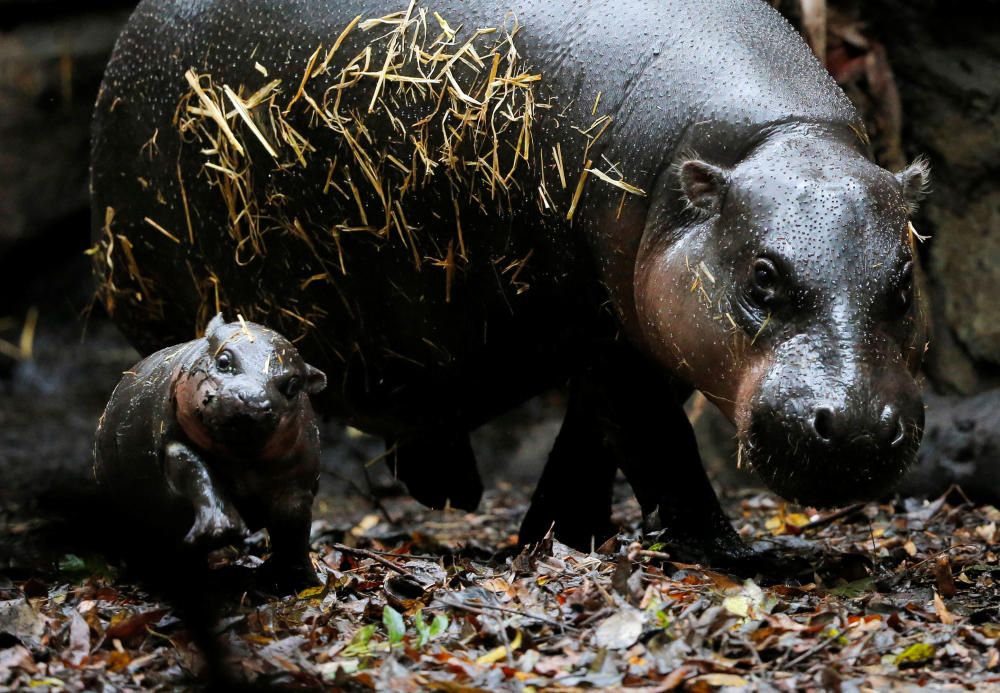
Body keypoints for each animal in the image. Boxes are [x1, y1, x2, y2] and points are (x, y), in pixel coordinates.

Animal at [93, 314, 324, 588]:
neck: (241, 463)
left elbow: (294, 526)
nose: (253, 400)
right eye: (224, 360)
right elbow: (197, 473)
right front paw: (221, 530)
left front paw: (306, 582)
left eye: (293, 385)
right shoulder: (173, 444)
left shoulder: (297, 476)